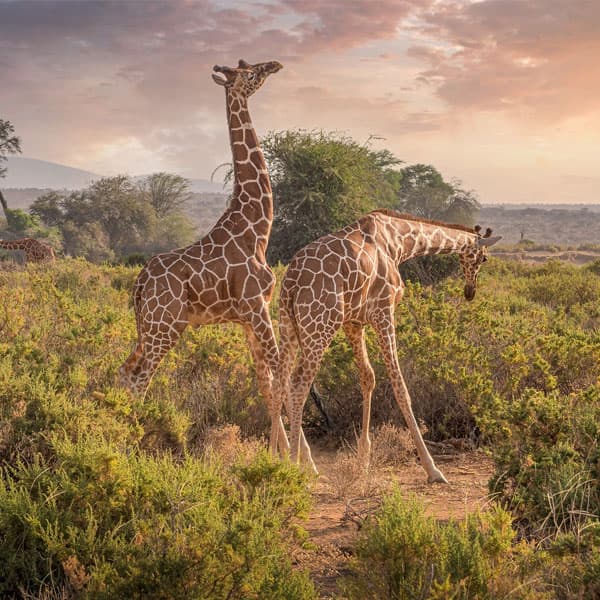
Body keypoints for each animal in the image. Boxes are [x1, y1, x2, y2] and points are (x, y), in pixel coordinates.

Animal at [272, 211, 502, 482]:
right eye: (484, 258)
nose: (470, 291)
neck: (400, 242)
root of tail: (291, 281)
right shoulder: (384, 310)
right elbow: (399, 385)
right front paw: (432, 468)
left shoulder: (353, 321)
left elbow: (368, 377)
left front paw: (363, 459)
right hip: (320, 325)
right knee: (298, 384)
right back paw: (295, 466)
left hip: (288, 324)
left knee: (279, 382)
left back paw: (270, 458)